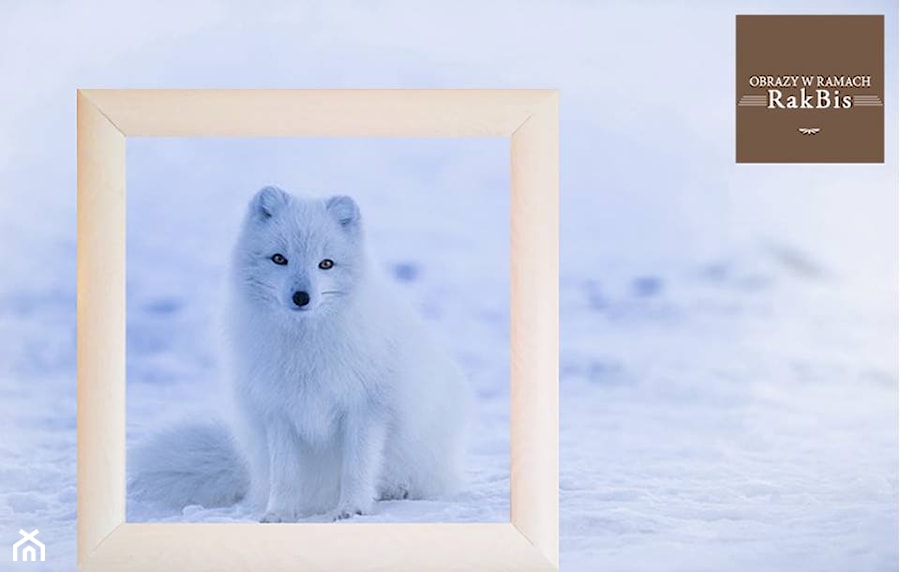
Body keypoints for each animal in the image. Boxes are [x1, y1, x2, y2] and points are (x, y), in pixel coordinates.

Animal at [133, 189, 474, 524]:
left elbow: (357, 467)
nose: (301, 297)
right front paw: (279, 514)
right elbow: (285, 475)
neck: (304, 347)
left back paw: (396, 491)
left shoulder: (366, 408)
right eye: (279, 259)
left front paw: (352, 509)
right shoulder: (278, 411)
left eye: (326, 264)